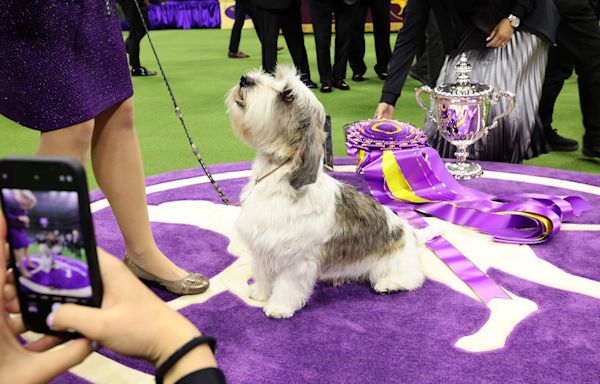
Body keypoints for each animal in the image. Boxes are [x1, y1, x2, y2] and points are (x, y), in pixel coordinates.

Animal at [225, 66, 436, 318]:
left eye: (287, 94)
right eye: (275, 76)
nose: (245, 79)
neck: (279, 177)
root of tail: (409, 232)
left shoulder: (296, 260)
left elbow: (287, 285)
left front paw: (279, 307)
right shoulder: (262, 247)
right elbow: (263, 273)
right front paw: (259, 293)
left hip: (394, 264)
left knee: (413, 278)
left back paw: (388, 284)